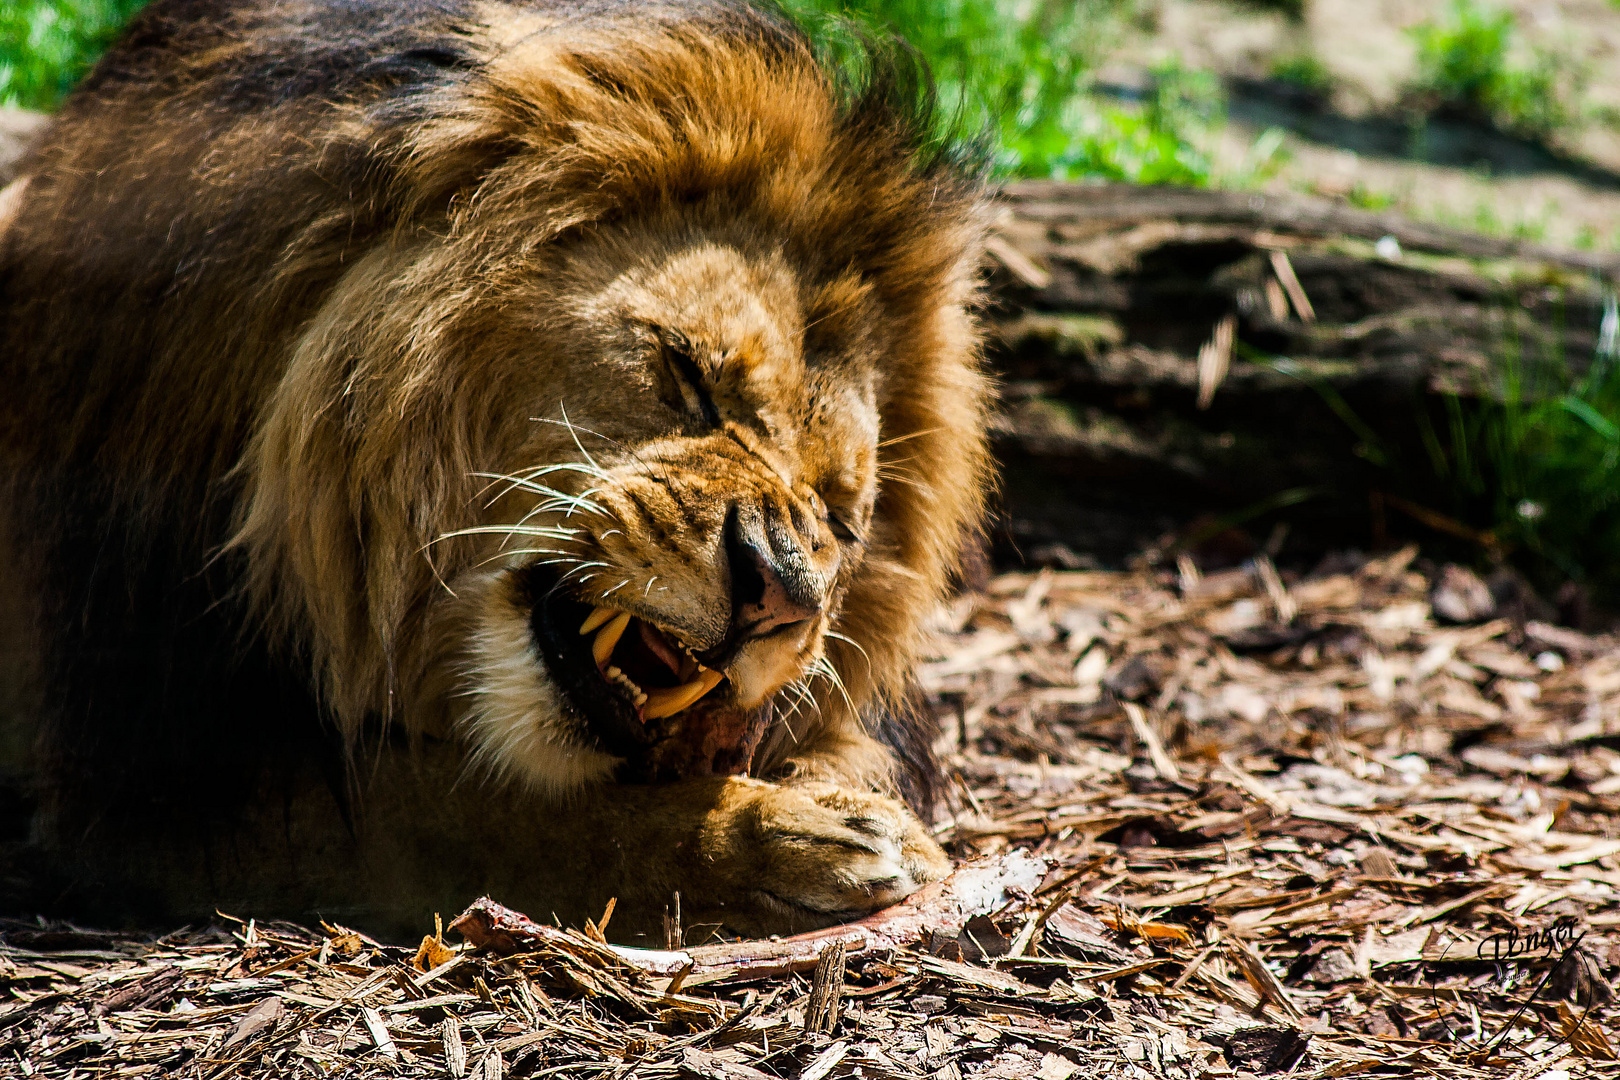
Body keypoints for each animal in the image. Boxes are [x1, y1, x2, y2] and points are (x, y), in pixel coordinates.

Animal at [0, 0, 984, 939]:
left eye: (840, 517)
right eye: (686, 375)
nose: (780, 594)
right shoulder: (137, 778)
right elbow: (485, 813)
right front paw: (793, 835)